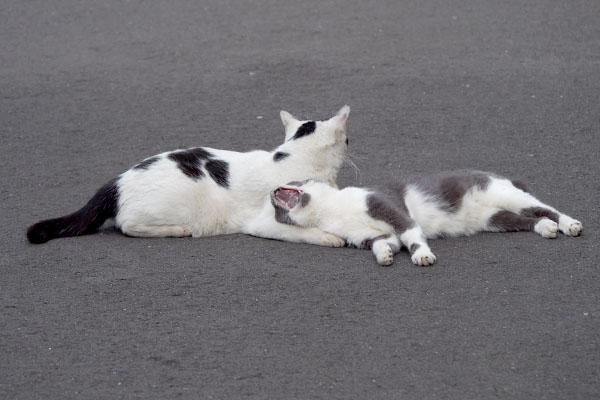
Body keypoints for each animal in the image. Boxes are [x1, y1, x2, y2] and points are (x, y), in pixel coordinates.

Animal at [28, 105, 352, 247]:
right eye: (348, 140)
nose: (352, 143)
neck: (294, 156)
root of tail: (116, 181)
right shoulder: (265, 221)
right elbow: (301, 232)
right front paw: (328, 237)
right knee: (127, 225)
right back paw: (177, 230)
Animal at [270, 169, 584, 266]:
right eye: (275, 212)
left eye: (294, 179)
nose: (272, 192)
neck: (332, 211)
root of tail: (498, 175)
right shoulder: (371, 236)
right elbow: (383, 243)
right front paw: (385, 256)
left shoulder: (385, 205)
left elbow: (411, 233)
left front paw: (422, 256)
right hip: (496, 219)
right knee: (529, 219)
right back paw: (546, 228)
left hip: (506, 195)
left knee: (546, 207)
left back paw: (569, 224)